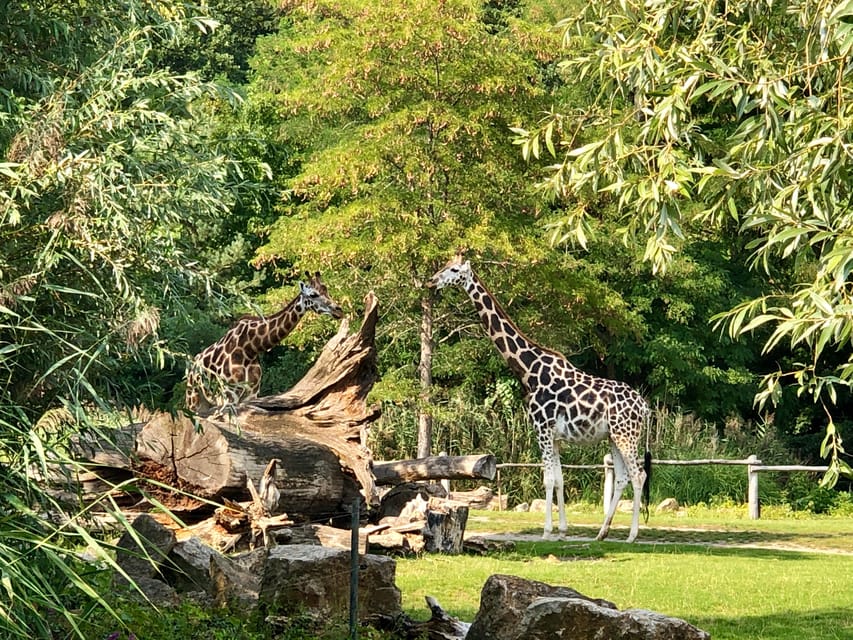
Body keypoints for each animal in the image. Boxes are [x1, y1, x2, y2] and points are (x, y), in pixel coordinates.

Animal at [186, 272, 342, 416]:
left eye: (327, 290)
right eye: (313, 294)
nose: (338, 310)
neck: (250, 348)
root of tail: (193, 365)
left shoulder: (251, 394)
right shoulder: (229, 394)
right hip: (194, 399)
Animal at [430, 255, 648, 540]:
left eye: (454, 269)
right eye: (444, 265)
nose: (432, 280)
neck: (529, 370)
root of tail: (644, 406)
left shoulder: (542, 429)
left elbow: (548, 479)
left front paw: (546, 532)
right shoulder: (555, 437)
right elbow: (560, 479)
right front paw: (562, 531)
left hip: (627, 436)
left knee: (639, 475)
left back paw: (632, 535)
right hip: (614, 436)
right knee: (623, 477)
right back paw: (602, 533)